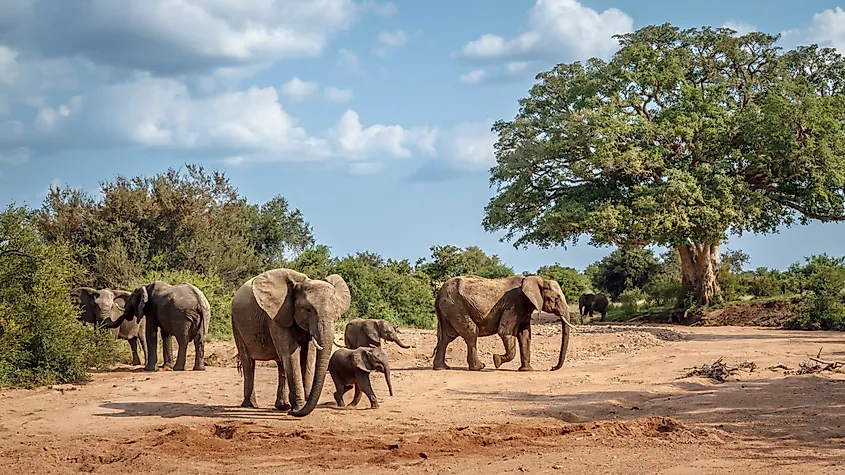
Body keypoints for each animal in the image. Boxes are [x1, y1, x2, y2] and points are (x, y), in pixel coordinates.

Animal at [230, 268, 351, 417]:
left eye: (335, 311)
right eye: (308, 309)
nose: (293, 412)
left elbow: (307, 355)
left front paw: (300, 405)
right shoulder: (277, 315)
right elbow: (291, 353)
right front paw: (298, 408)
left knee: (281, 363)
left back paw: (283, 406)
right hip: (236, 323)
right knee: (248, 362)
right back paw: (250, 405)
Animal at [432, 275, 576, 372]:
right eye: (556, 298)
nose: (552, 368)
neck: (534, 279)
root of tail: (439, 294)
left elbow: (525, 336)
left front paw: (527, 370)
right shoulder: (514, 305)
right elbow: (506, 332)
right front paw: (496, 360)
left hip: (449, 309)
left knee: (446, 337)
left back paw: (442, 368)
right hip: (456, 307)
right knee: (471, 333)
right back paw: (479, 367)